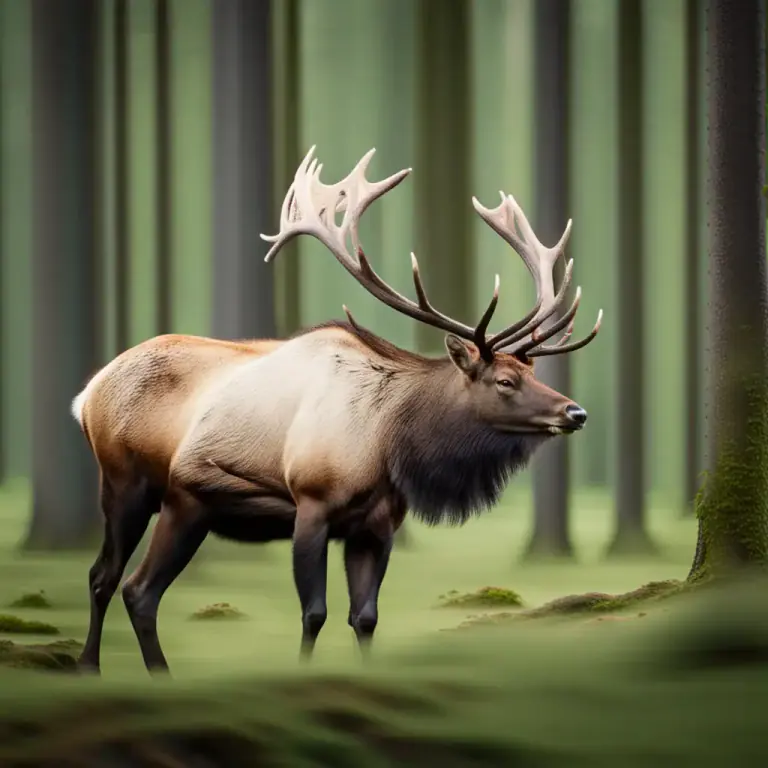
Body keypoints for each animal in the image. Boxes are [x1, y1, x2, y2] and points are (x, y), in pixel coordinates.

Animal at [71, 146, 602, 675]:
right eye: (505, 381)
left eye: (533, 373)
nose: (576, 413)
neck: (388, 446)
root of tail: (88, 393)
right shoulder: (311, 504)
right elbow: (314, 613)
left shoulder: (376, 527)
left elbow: (364, 616)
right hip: (137, 486)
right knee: (125, 584)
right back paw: (110, 668)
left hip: (184, 505)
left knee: (119, 581)